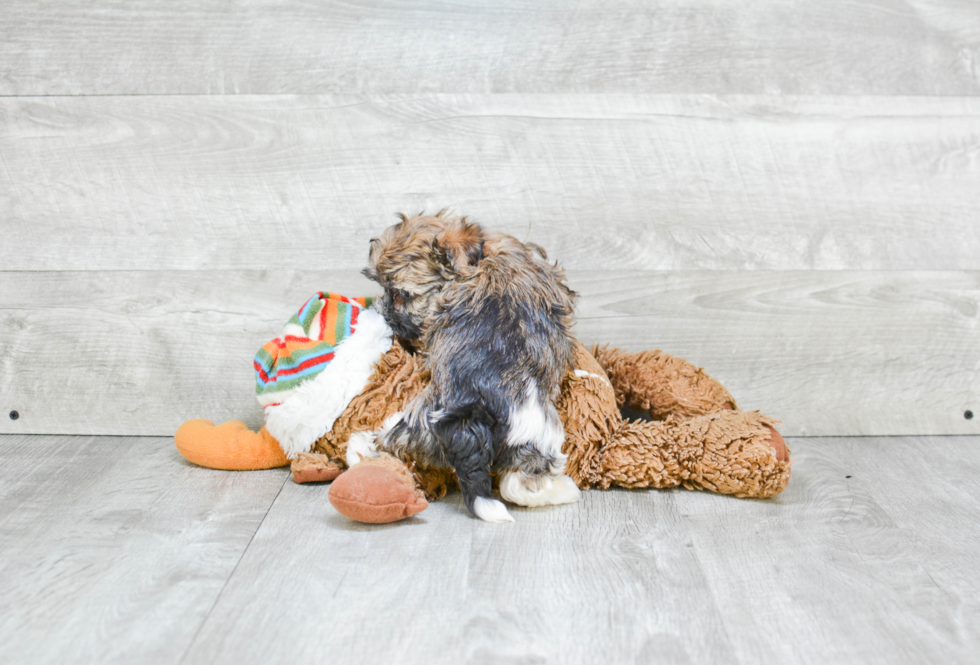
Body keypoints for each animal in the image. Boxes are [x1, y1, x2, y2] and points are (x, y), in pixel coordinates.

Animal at [354, 210, 580, 520]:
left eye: (401, 295)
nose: (382, 312)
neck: (484, 257)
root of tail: (468, 415)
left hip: (432, 427)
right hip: (533, 432)